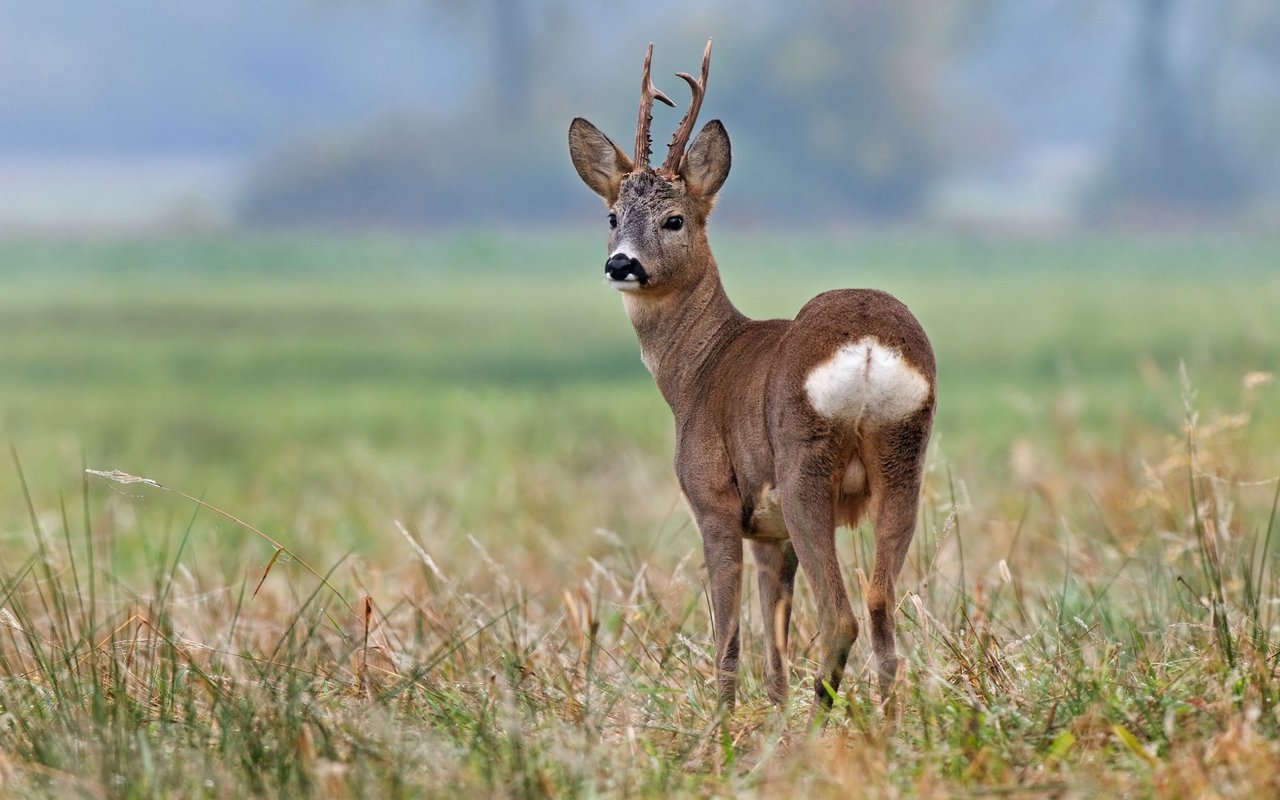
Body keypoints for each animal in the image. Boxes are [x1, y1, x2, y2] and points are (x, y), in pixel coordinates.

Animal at [565, 39, 936, 711]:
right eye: (611, 216)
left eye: (676, 219)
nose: (621, 264)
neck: (698, 370)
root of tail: (869, 347)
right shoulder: (770, 534)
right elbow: (774, 652)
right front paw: (772, 722)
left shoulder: (714, 502)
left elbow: (730, 643)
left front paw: (723, 727)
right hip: (903, 461)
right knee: (881, 609)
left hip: (803, 467)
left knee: (841, 617)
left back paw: (822, 723)